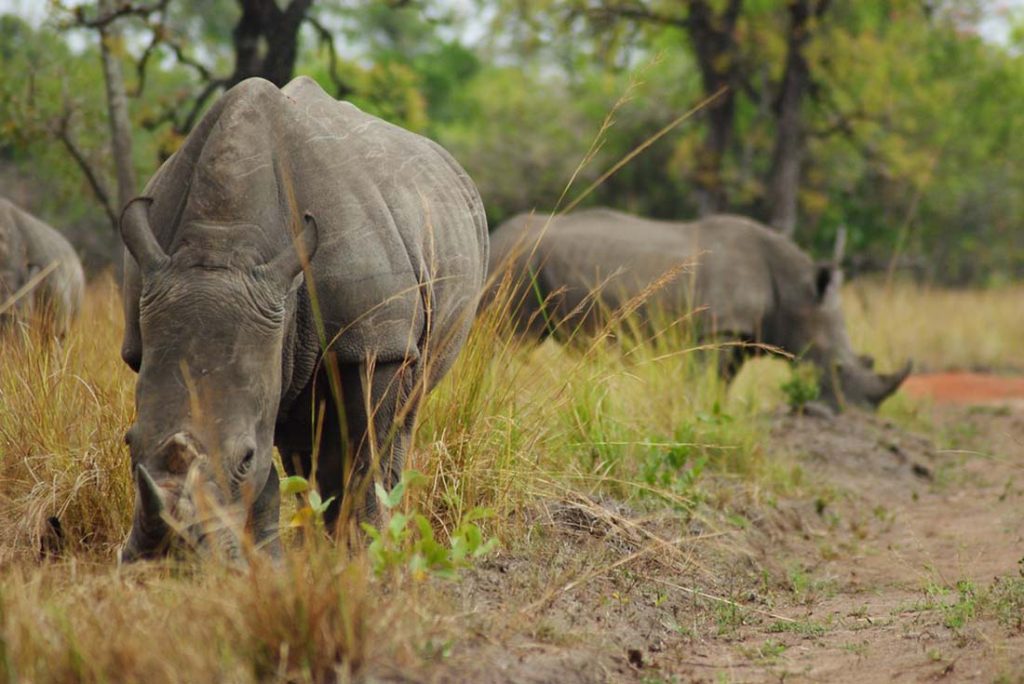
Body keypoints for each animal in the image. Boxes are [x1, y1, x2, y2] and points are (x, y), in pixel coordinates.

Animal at [118, 76, 488, 563]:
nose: (167, 556)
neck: (222, 246)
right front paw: (269, 564)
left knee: (402, 414)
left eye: (244, 459)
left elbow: (362, 453)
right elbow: (274, 467)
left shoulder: (376, 342)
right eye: (129, 443)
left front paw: (361, 555)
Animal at [489, 208, 909, 410]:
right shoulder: (719, 328)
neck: (795, 293)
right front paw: (695, 411)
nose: (860, 415)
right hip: (516, 264)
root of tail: (496, 234)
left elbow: (721, 382)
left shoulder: (738, 333)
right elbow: (704, 378)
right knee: (509, 339)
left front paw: (713, 411)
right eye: (836, 368)